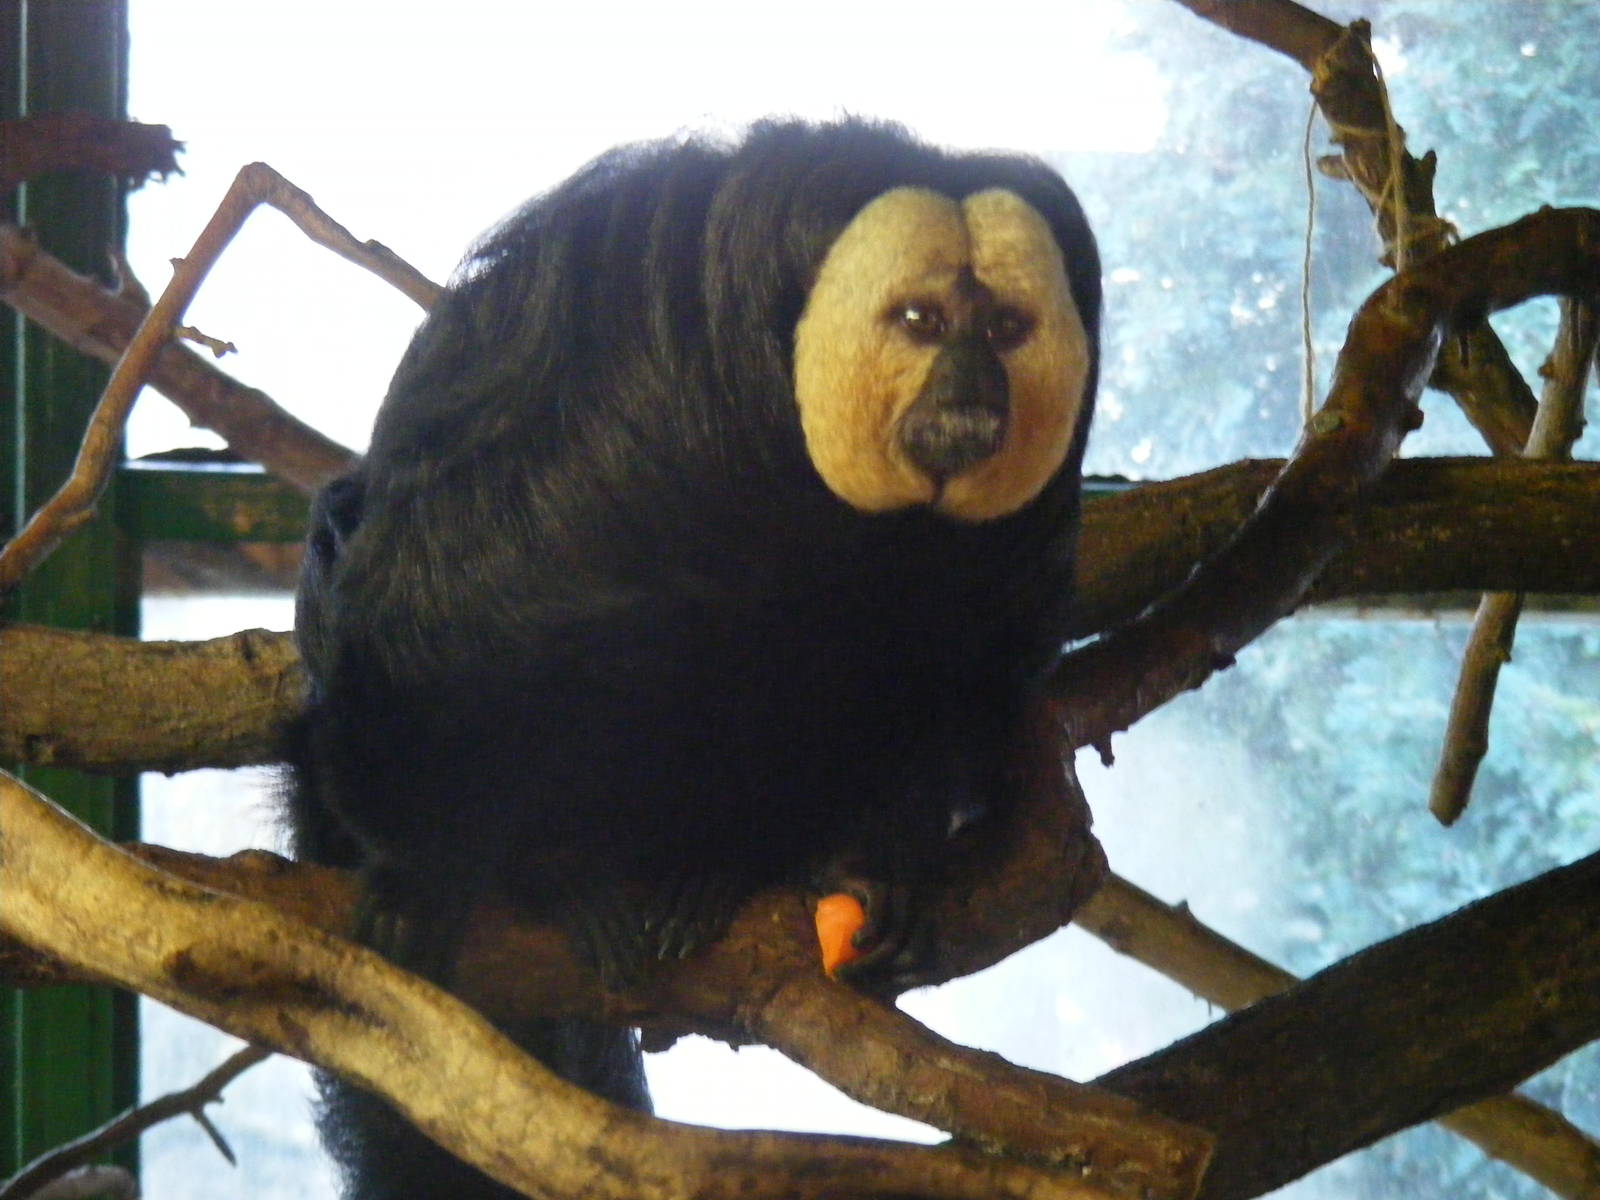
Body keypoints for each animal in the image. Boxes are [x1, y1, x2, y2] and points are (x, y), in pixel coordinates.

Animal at [286, 117, 1100, 1199]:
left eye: (1007, 327)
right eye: (925, 321)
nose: (972, 388)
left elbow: (954, 665)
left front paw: (878, 857)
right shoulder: (629, 426)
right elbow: (448, 621)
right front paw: (438, 880)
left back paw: (716, 870)